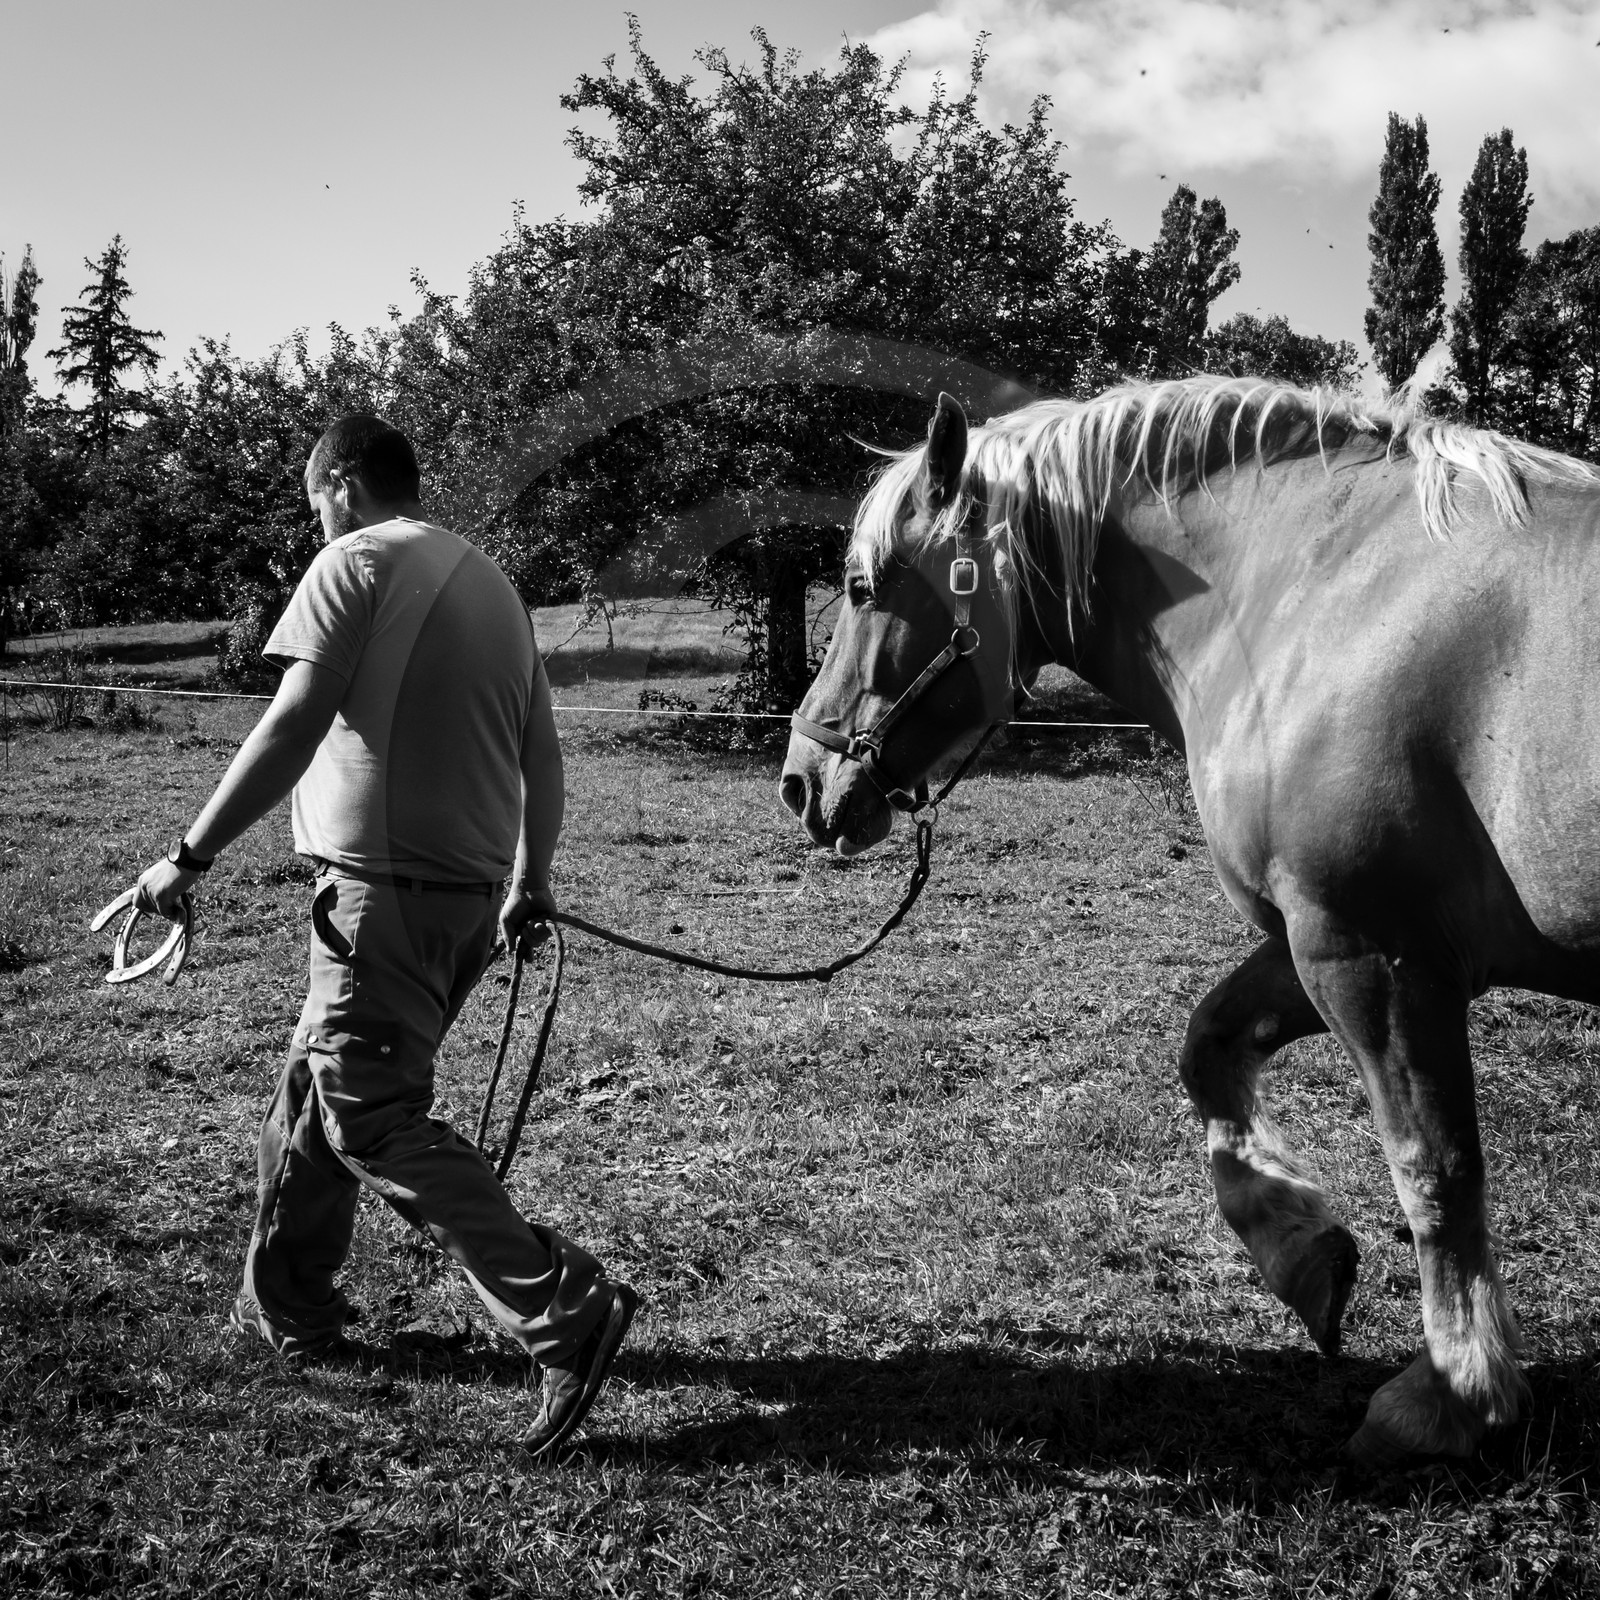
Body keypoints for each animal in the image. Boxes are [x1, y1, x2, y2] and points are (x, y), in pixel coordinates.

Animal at [780, 377, 1600, 1463]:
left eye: (866, 585)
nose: (801, 781)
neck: (1319, 589)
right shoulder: (1320, 945)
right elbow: (1209, 1048)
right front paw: (1304, 1254)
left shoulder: (1371, 954)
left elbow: (1434, 1168)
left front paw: (1451, 1394)